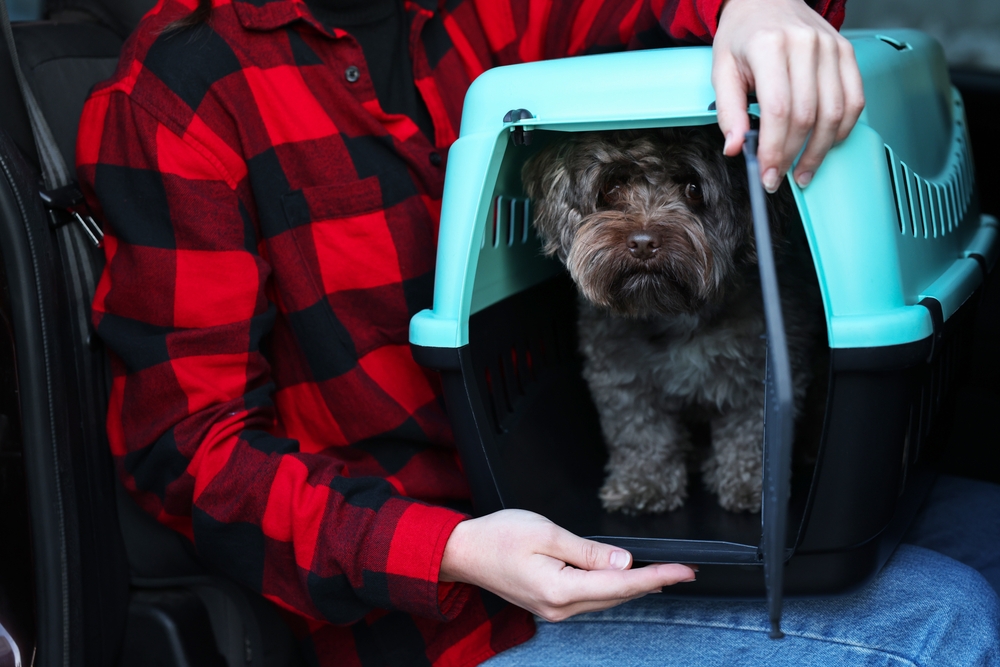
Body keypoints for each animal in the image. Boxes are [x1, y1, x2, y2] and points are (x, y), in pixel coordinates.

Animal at [520, 124, 816, 512]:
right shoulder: (622, 379)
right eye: (612, 187)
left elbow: (751, 433)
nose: (644, 242)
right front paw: (645, 486)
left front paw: (751, 487)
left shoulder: (757, 379)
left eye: (693, 188)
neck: (672, 314)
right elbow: (640, 433)